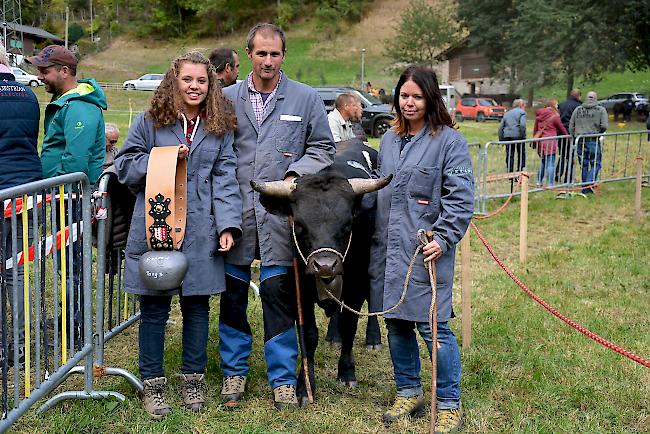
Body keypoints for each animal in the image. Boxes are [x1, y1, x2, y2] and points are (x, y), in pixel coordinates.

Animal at [249, 141, 390, 406]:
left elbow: (349, 324)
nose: (325, 265)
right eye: (299, 225)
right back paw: (333, 337)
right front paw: (305, 387)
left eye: (348, 224)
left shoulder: (356, 285)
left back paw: (373, 339)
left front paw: (347, 372)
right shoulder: (299, 290)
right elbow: (309, 335)